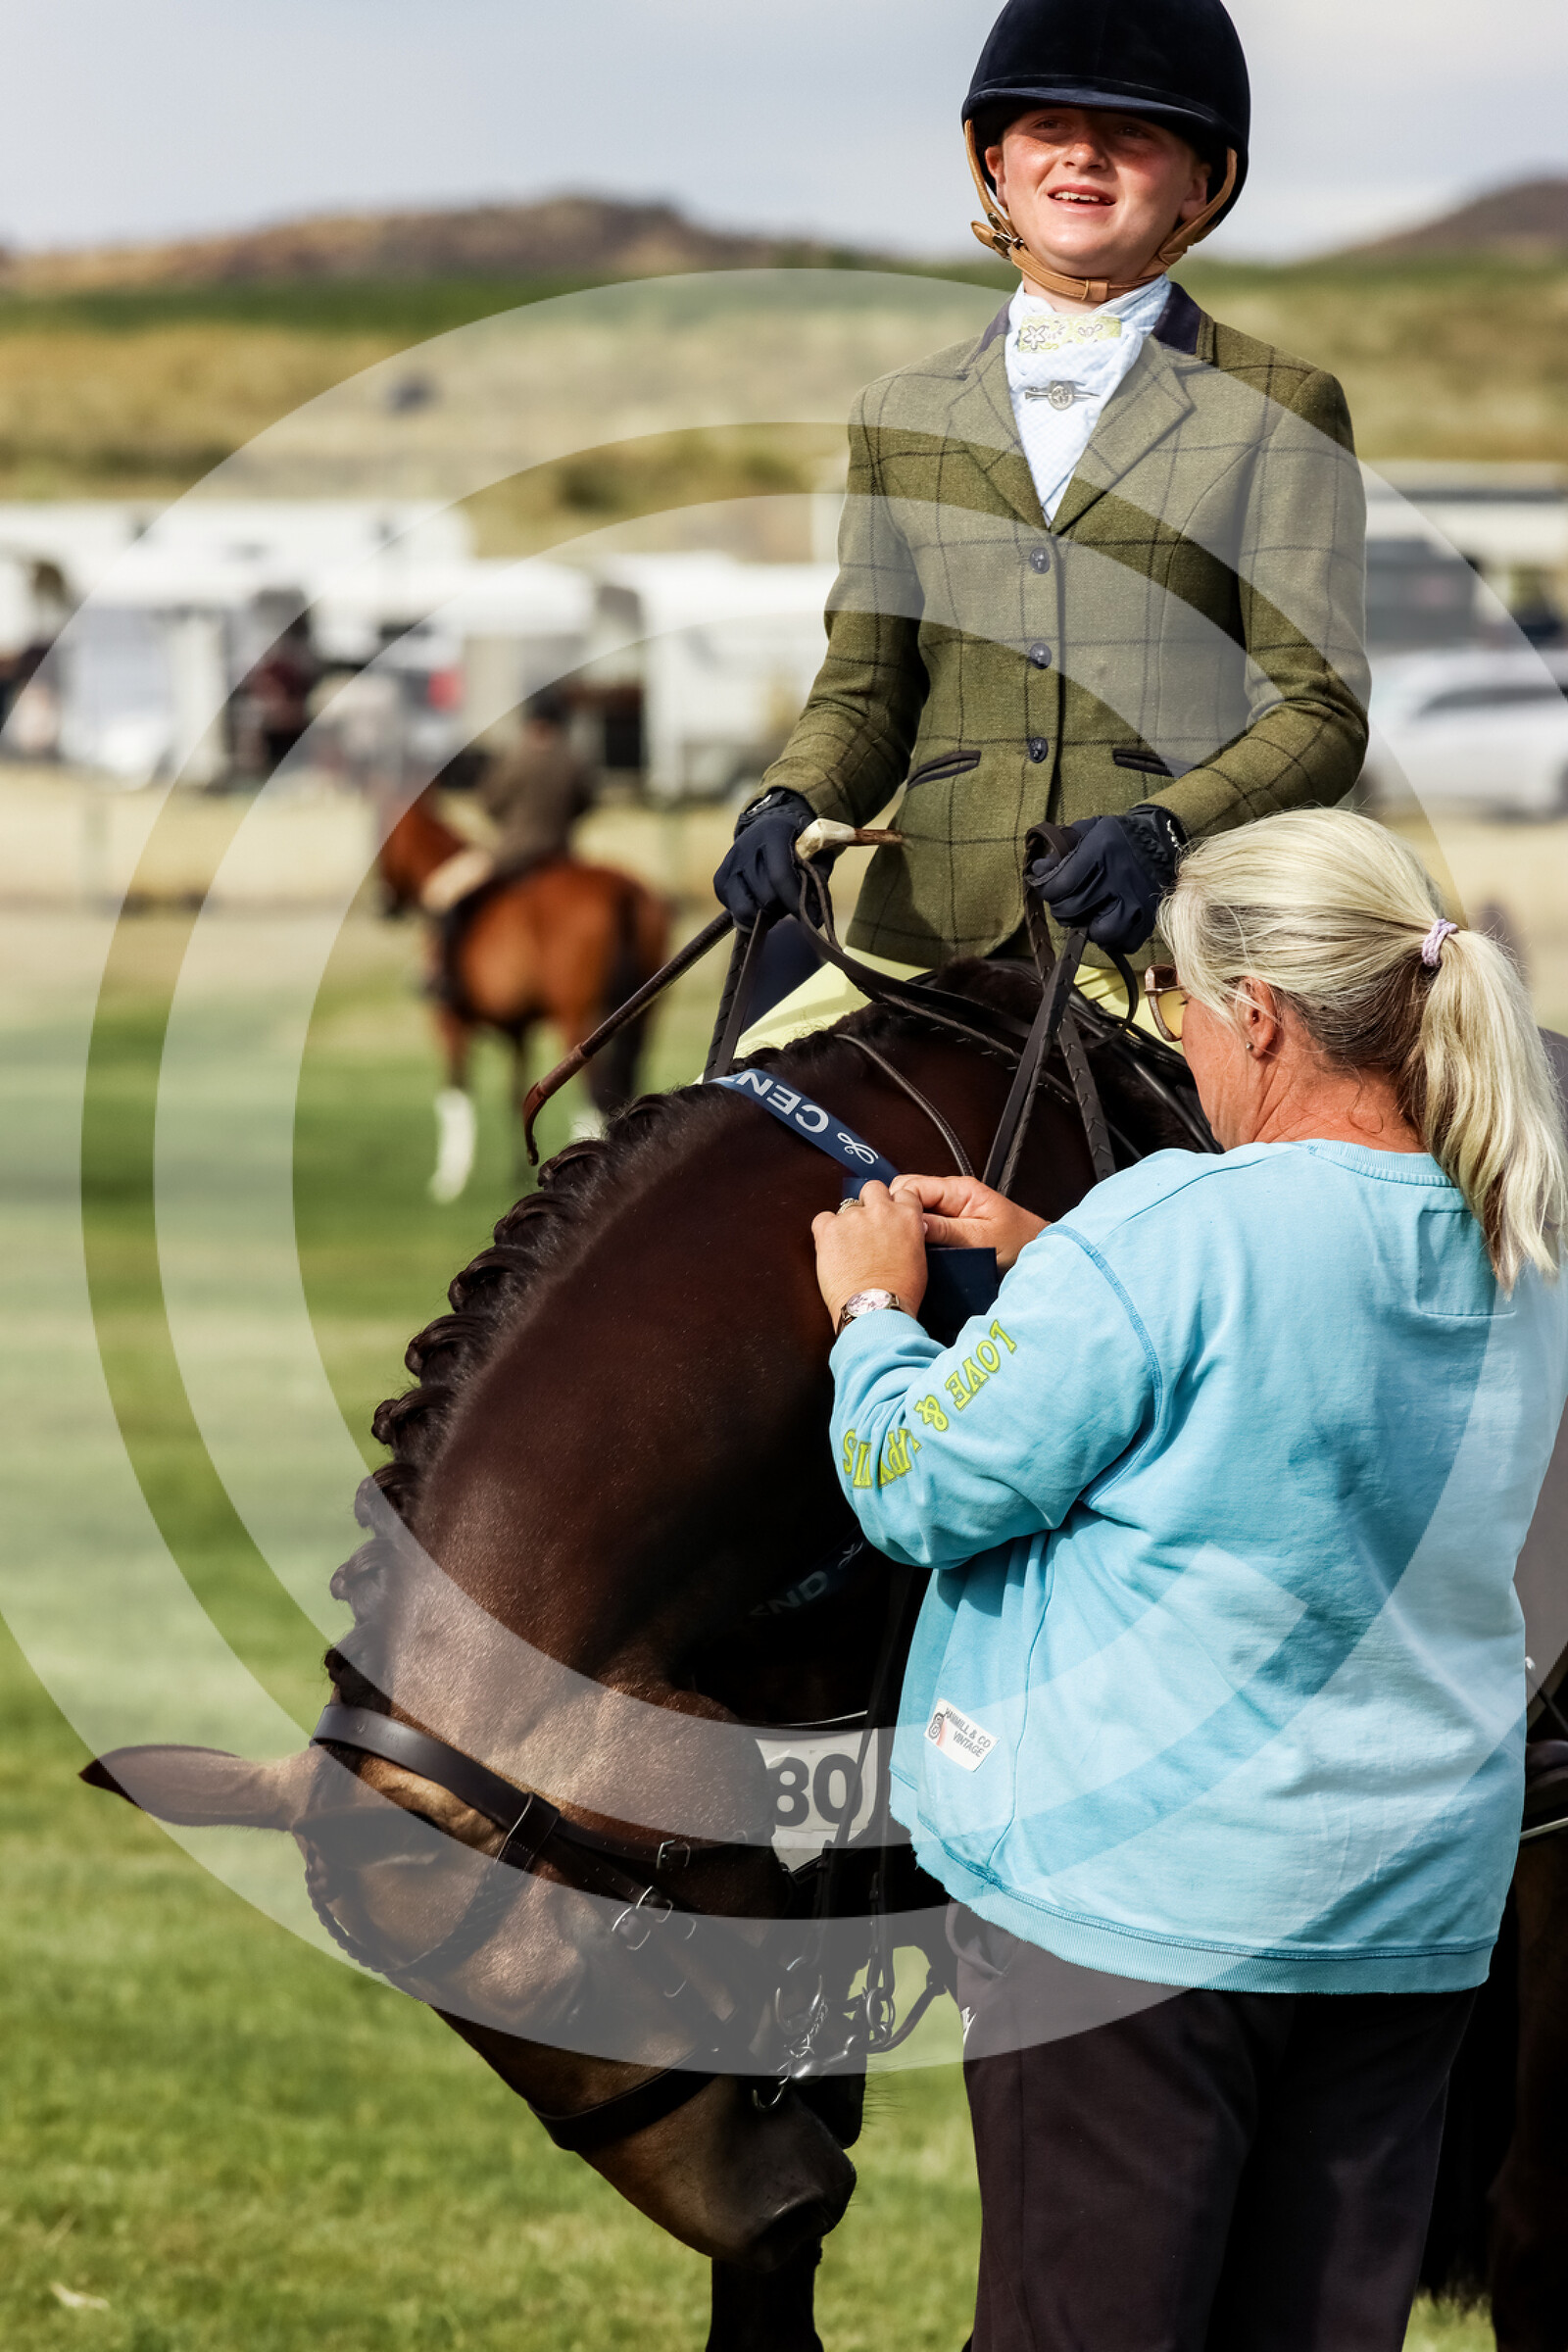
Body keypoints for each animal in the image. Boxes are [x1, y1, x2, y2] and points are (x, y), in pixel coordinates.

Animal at [378, 787, 669, 1202]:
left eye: (383, 836)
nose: (383, 905)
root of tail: (623, 891)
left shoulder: (450, 1022)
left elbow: (454, 1093)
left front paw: (450, 1178)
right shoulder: (518, 1030)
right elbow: (514, 1091)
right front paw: (516, 1172)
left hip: (578, 1021)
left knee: (592, 1088)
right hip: (643, 1016)